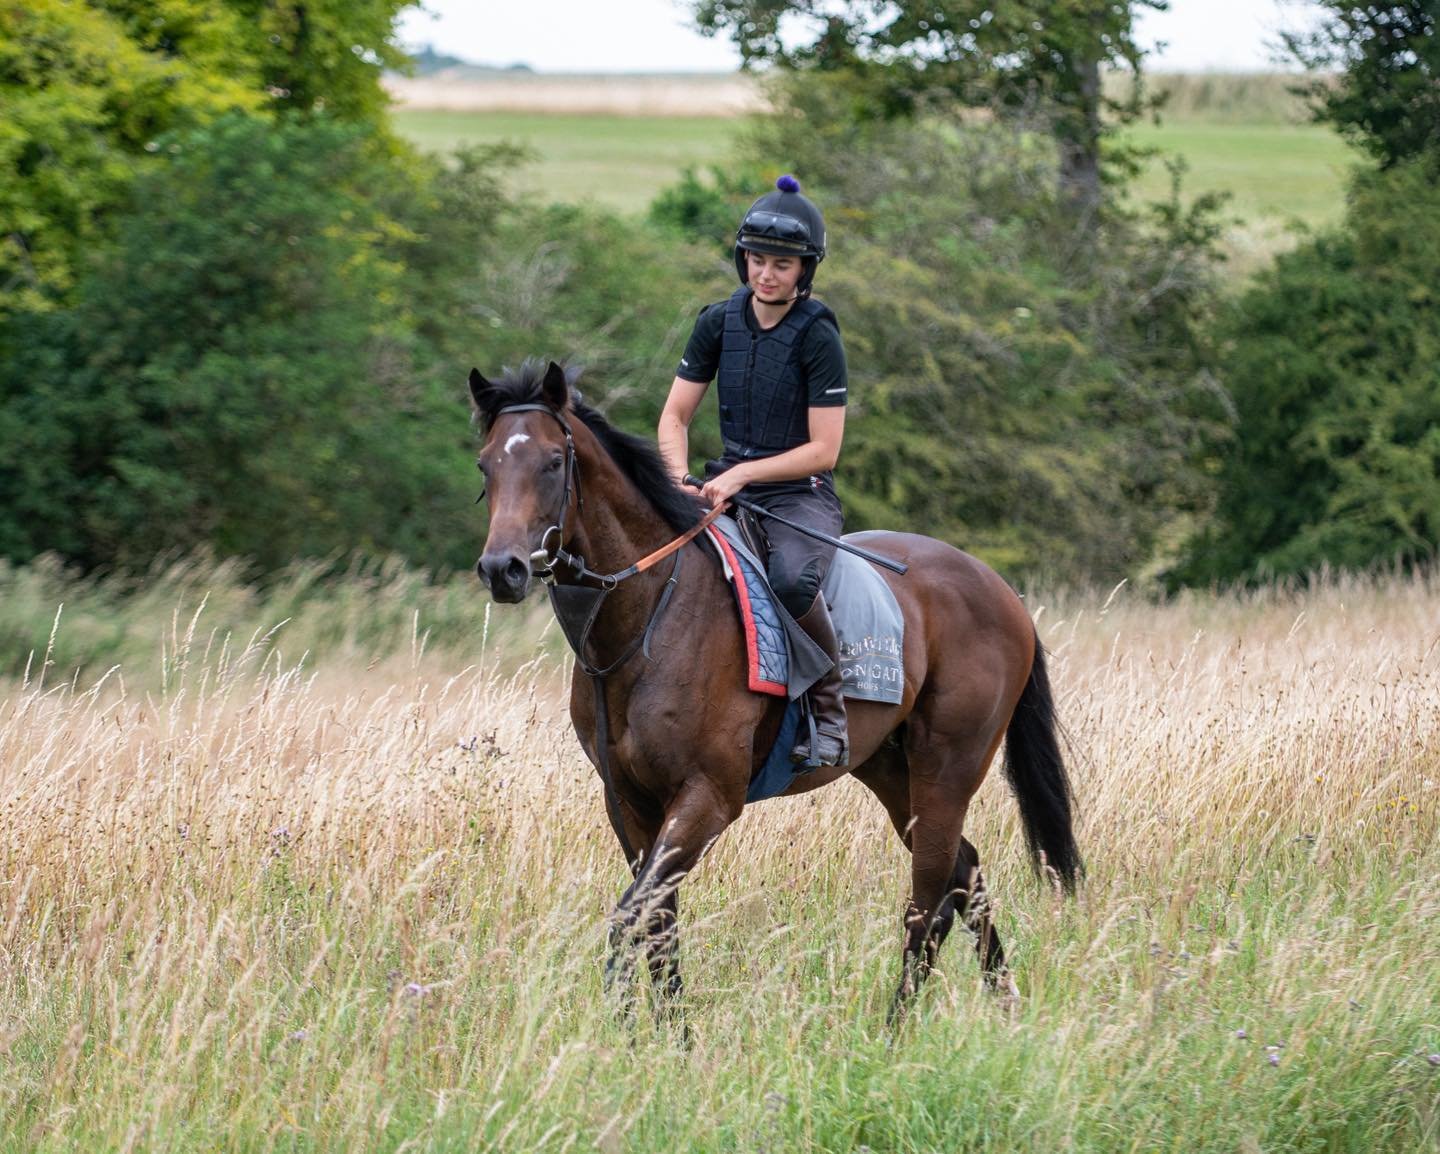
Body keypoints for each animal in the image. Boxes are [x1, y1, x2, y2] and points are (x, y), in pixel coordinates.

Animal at [472, 360, 1082, 1020]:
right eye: (486, 464)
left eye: (554, 461)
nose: (502, 568)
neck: (648, 623)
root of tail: (1000, 590)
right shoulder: (629, 802)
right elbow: (658, 923)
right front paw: (667, 1033)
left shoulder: (709, 797)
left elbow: (631, 915)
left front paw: (629, 1022)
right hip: (891, 771)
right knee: (964, 875)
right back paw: (1005, 1003)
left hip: (947, 770)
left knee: (927, 902)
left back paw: (895, 1027)